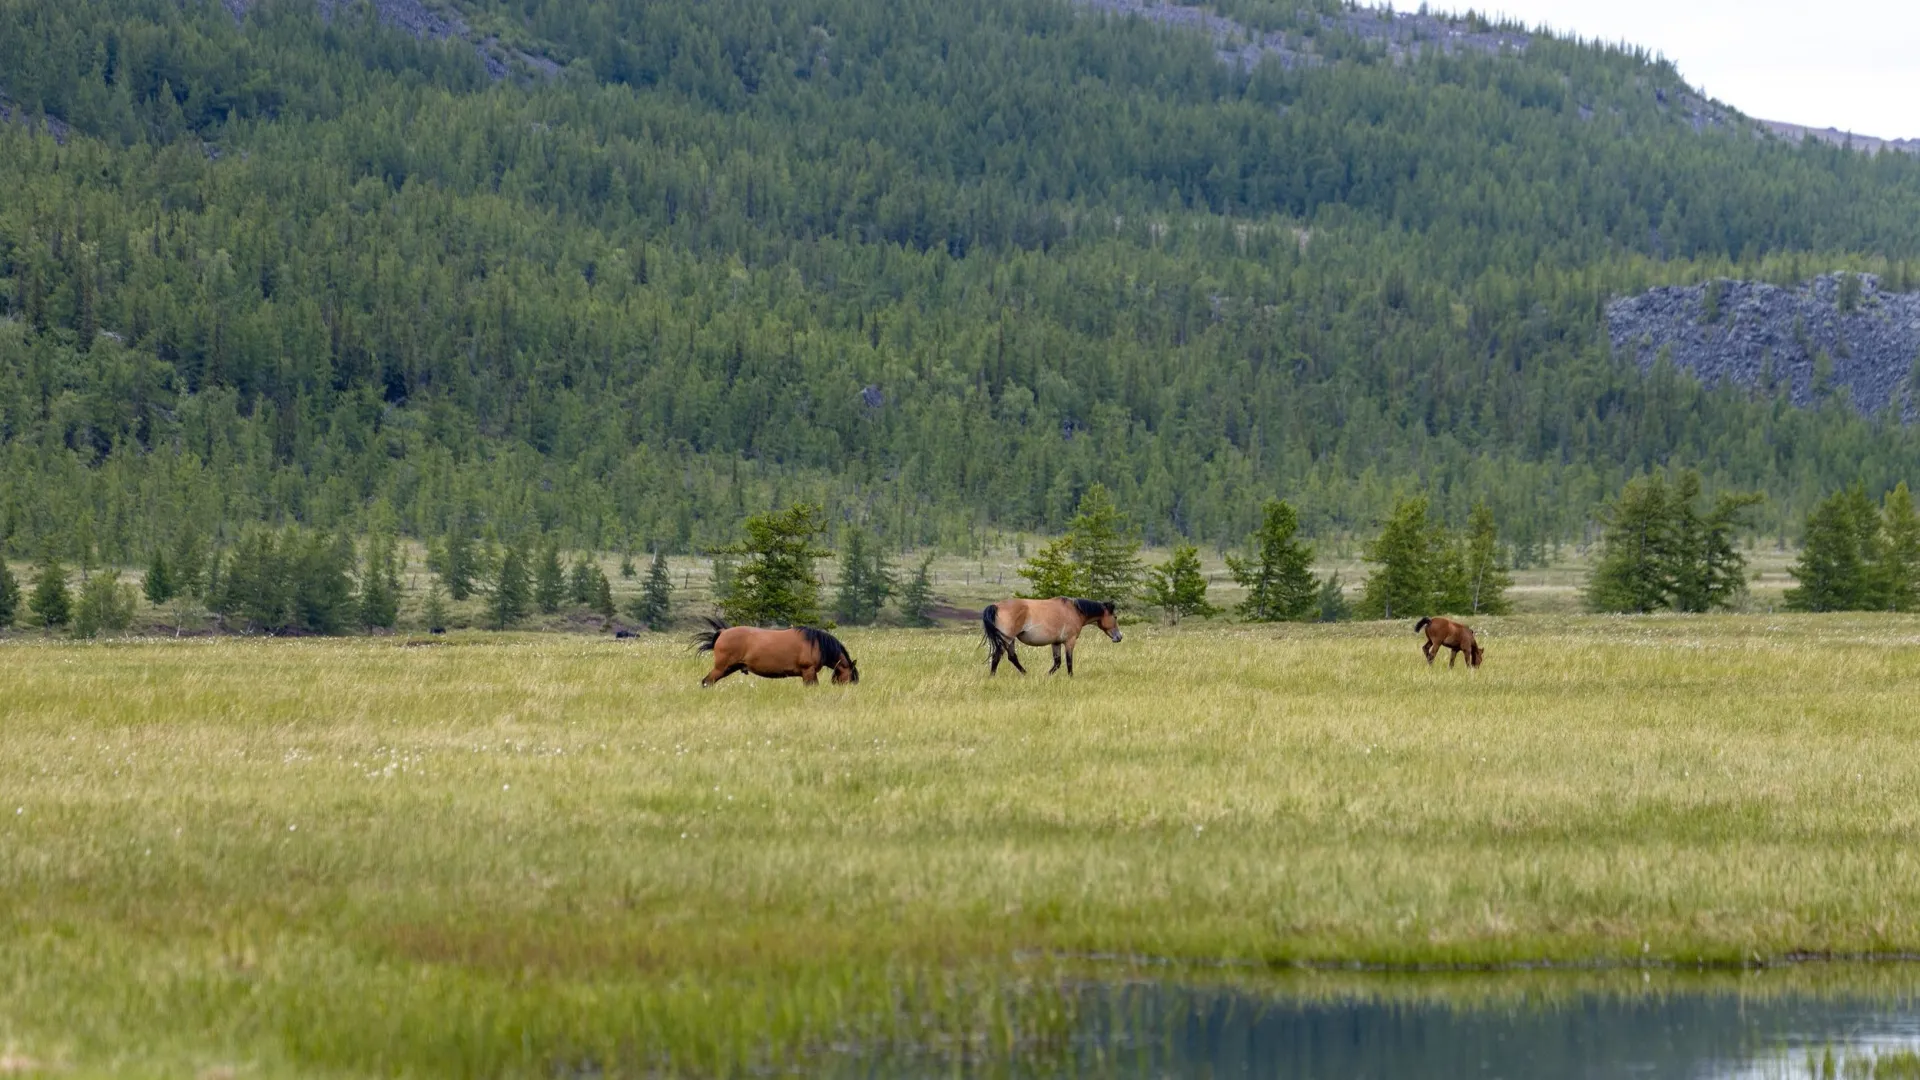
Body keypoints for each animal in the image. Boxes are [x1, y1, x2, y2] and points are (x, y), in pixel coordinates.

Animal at [695, 618, 860, 684]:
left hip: (729, 668)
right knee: (706, 682)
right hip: (721, 668)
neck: (816, 643)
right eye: (852, 677)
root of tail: (723, 632)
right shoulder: (808, 671)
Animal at [983, 595, 1121, 672]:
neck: (1075, 611)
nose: (1119, 637)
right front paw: (1071, 678)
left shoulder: (1056, 643)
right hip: (1006, 639)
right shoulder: (1070, 641)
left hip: (1010, 640)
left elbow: (1057, 663)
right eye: (1115, 617)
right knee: (996, 657)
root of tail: (996, 606)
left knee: (1012, 657)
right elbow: (1069, 661)